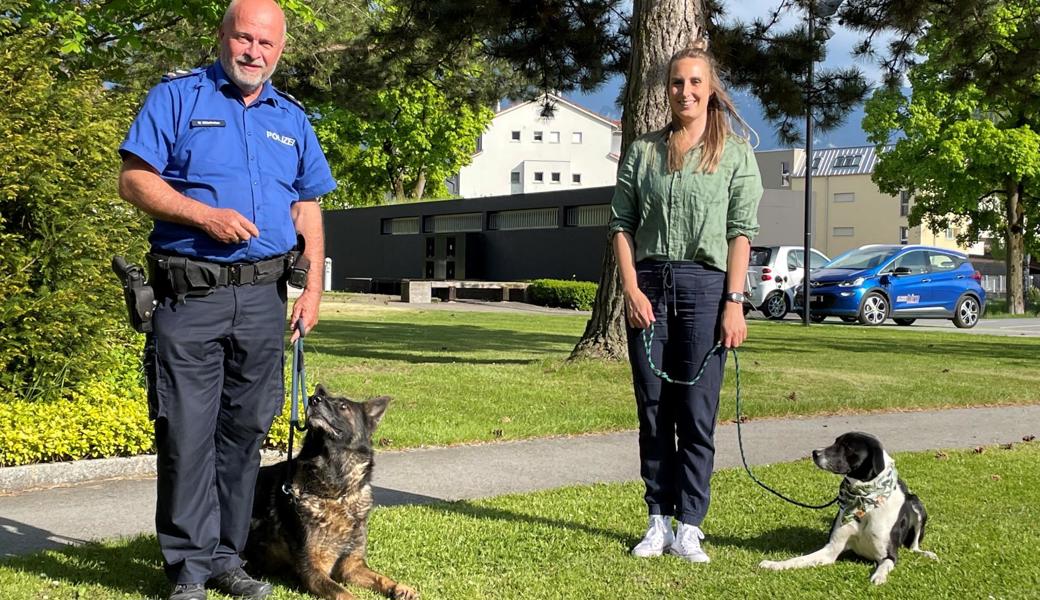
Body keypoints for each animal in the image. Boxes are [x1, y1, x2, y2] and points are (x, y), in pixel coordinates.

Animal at [246, 382, 418, 598]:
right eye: (321, 399)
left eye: (343, 406)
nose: (313, 399)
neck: (338, 494)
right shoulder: (313, 570)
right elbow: (344, 593)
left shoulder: (352, 566)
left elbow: (379, 576)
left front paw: (400, 586)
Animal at [761, 430, 940, 586]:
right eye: (835, 441)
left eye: (847, 446)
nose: (815, 452)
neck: (864, 501)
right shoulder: (830, 550)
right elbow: (799, 559)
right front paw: (775, 564)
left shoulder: (889, 555)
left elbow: (885, 565)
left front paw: (879, 577)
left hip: (917, 505)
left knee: (914, 546)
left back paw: (927, 554)